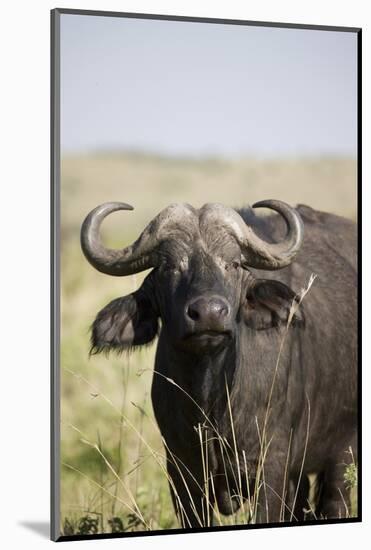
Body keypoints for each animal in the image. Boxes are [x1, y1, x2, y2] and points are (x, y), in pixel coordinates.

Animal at [80, 201, 358, 528]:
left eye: (233, 264)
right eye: (168, 266)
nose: (209, 313)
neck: (213, 400)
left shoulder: (272, 465)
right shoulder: (182, 473)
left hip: (343, 453)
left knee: (335, 501)